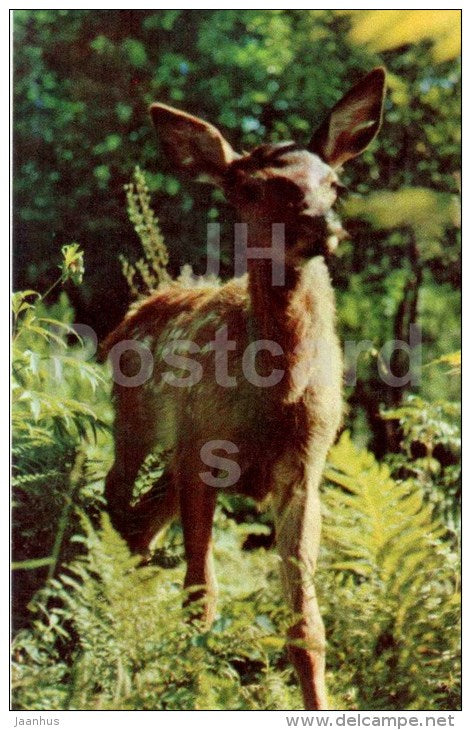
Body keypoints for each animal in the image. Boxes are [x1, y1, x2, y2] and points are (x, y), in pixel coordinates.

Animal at [102, 68, 386, 710]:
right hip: (137, 426)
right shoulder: (200, 453)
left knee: (139, 523)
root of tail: (136, 309)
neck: (275, 397)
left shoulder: (304, 470)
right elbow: (200, 596)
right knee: (114, 503)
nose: (320, 226)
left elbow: (307, 624)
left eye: (334, 182)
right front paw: (196, 692)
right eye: (251, 189)